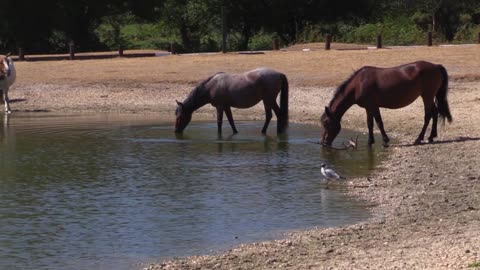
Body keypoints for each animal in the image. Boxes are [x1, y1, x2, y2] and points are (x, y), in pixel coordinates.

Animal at [320, 60, 452, 147]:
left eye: (326, 123)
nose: (323, 142)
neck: (358, 84)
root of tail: (436, 66)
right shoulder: (369, 107)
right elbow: (370, 123)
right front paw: (370, 141)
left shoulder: (373, 106)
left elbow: (379, 123)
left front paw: (385, 140)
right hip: (429, 97)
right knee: (435, 113)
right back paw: (431, 136)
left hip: (427, 96)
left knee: (428, 115)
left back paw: (419, 138)